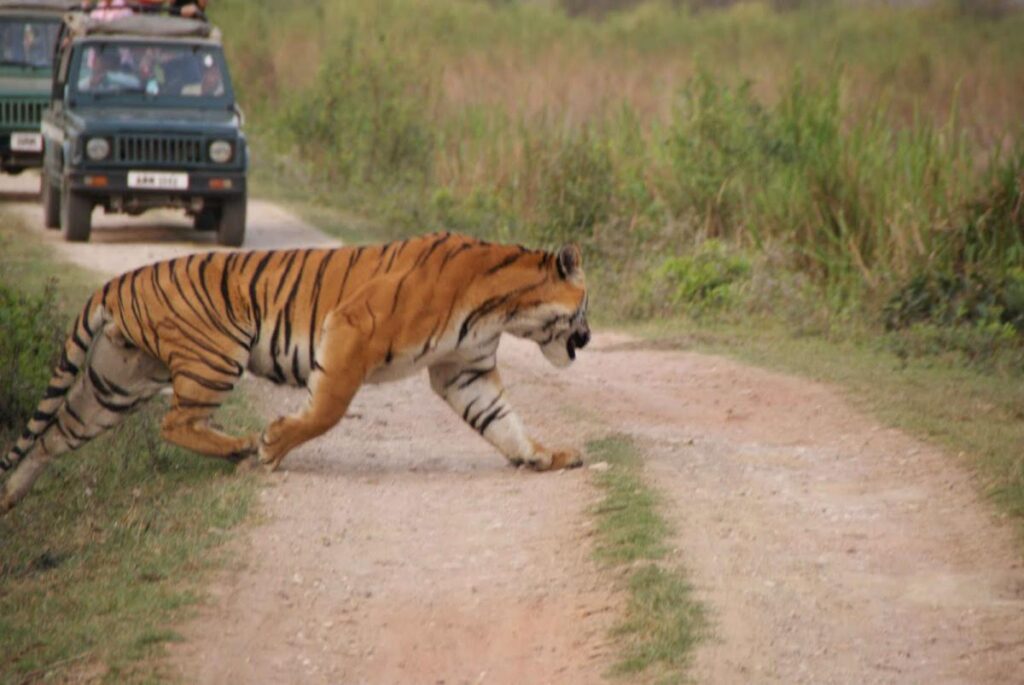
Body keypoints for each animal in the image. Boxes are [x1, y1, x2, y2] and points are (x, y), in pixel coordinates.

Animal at [0, 232, 589, 509]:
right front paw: (272, 445)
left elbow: (503, 422)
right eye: (586, 306)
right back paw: (241, 446)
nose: (586, 339)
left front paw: (546, 456)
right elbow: (327, 409)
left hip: (113, 383)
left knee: (53, 435)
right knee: (175, 423)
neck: (505, 308)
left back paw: (11, 500)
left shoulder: (464, 372)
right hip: (217, 354)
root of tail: (117, 281)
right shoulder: (354, 326)